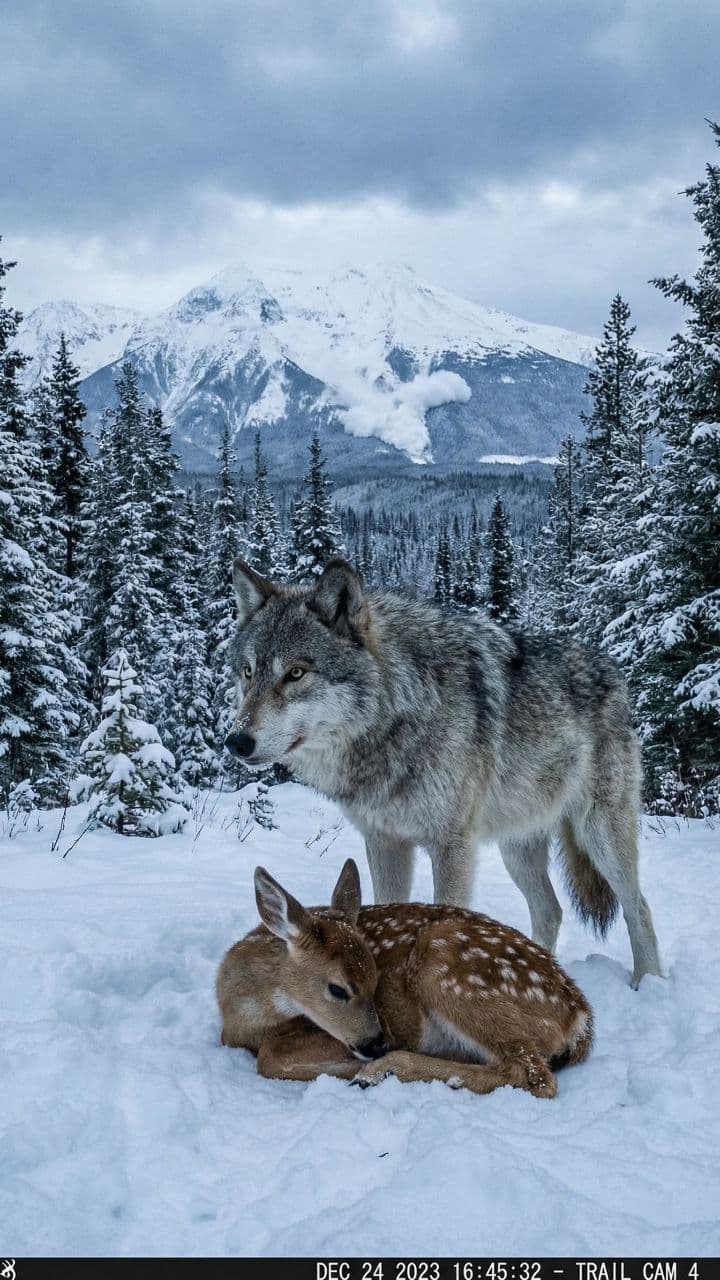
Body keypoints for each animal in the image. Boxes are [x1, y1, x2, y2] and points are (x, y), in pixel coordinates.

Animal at [216, 859, 594, 1098]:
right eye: (337, 989)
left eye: (375, 981)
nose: (378, 1044)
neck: (242, 1015)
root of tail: (582, 1017)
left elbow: (269, 1055)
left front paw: (350, 1068)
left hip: (448, 970)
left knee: (534, 1074)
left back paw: (383, 1072)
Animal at [226, 557, 662, 987]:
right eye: (247, 672)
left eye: (296, 673)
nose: (236, 741)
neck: (399, 710)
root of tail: (613, 668)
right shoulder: (384, 842)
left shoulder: (452, 846)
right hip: (517, 849)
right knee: (551, 911)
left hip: (599, 836)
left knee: (638, 907)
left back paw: (647, 981)